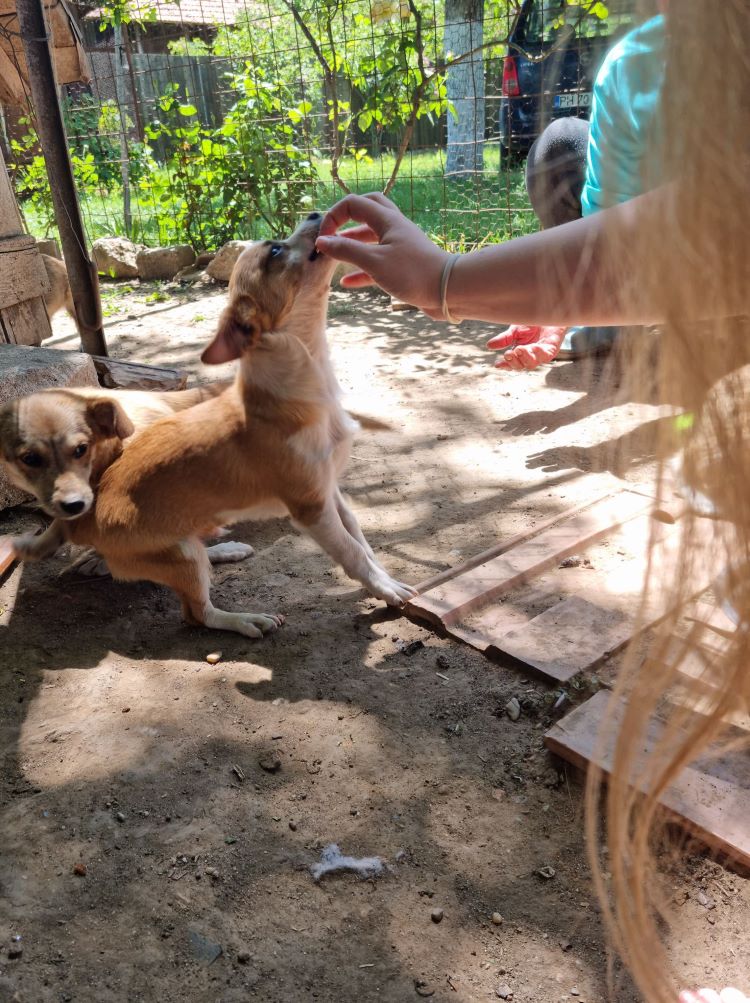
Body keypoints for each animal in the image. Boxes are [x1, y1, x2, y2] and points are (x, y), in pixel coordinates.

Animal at [7, 214, 415, 637]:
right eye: (275, 250)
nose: (316, 215)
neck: (309, 383)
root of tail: (81, 520)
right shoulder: (311, 507)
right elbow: (352, 553)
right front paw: (385, 588)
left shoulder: (329, 489)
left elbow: (361, 540)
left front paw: (382, 574)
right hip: (182, 556)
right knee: (198, 614)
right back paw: (247, 619)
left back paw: (226, 550)